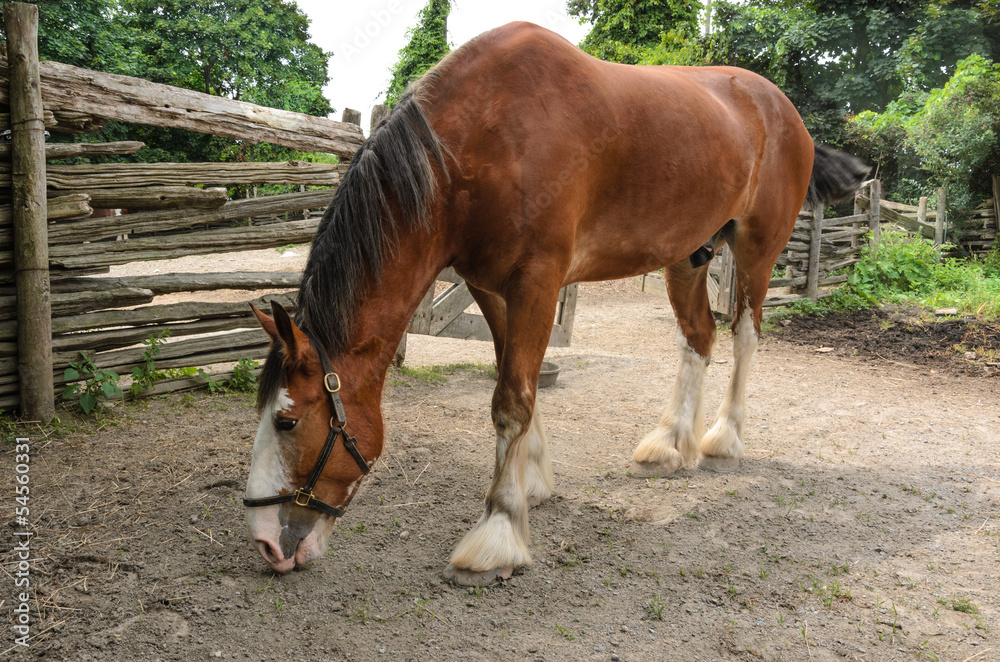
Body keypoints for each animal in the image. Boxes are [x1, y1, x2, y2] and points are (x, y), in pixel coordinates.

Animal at [242, 22, 869, 585]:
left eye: (288, 420)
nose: (267, 544)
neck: (482, 140)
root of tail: (784, 109)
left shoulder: (537, 281)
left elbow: (512, 401)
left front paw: (497, 533)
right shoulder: (488, 285)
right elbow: (514, 377)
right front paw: (533, 483)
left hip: (758, 249)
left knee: (744, 335)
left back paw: (724, 440)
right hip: (687, 255)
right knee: (698, 336)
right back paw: (670, 444)